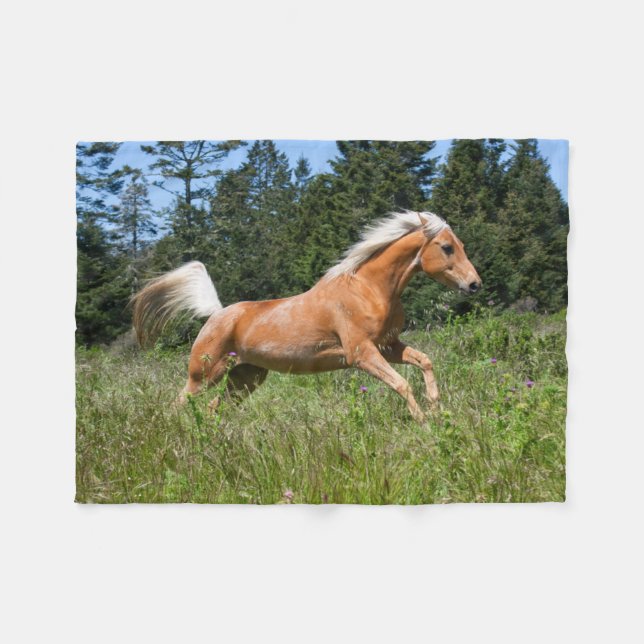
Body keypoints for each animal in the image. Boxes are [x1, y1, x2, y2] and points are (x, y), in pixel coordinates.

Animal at [132, 211, 481, 422]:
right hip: (203, 376)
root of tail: (216, 314)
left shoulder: (389, 346)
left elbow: (425, 362)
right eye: (447, 247)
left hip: (245, 378)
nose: (475, 285)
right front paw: (424, 424)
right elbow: (402, 385)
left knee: (214, 409)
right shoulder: (362, 354)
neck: (368, 289)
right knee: (180, 405)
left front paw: (437, 409)